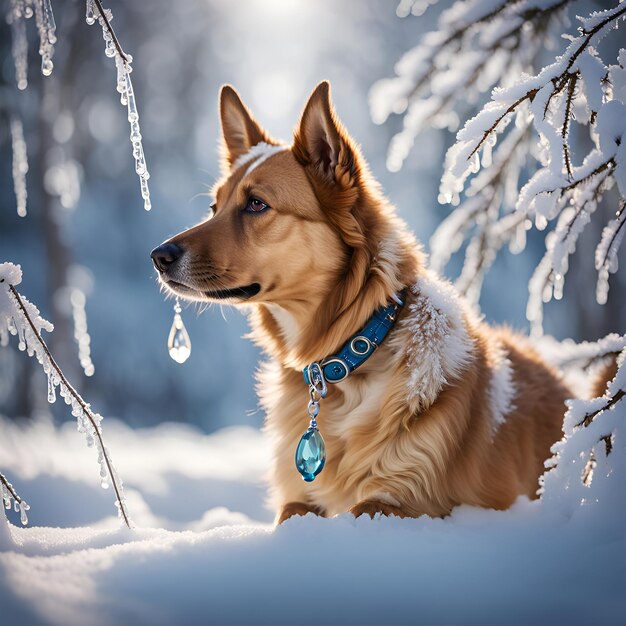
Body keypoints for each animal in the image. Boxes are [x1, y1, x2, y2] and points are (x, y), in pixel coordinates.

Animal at [151, 81, 572, 520]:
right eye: (214, 207)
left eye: (256, 204)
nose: (159, 256)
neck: (353, 353)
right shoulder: (298, 495)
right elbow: (291, 512)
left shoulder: (410, 498)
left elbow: (366, 505)